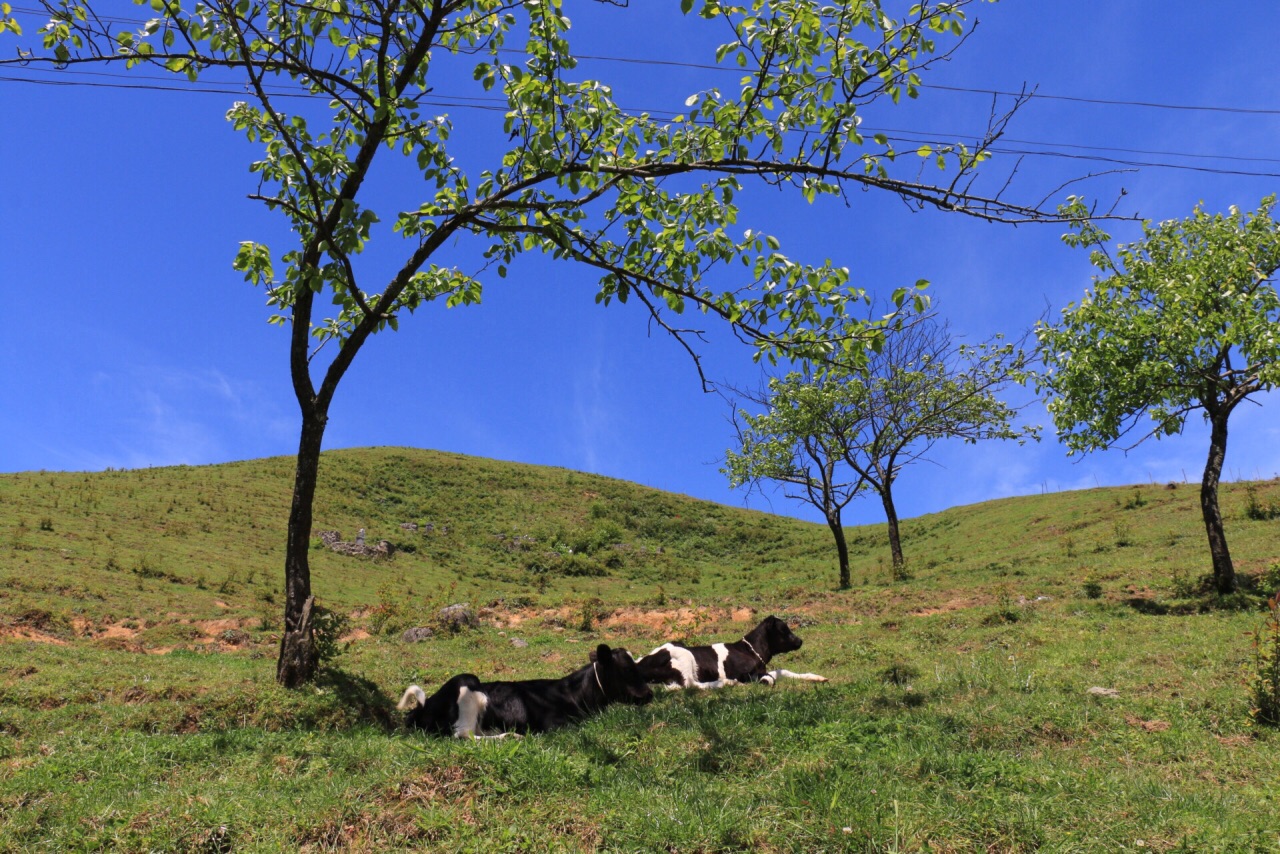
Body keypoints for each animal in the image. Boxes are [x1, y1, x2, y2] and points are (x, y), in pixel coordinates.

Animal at [394, 645, 655, 737]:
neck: (574, 696)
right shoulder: (554, 725)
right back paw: (510, 736)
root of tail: (422, 707)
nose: (649, 694)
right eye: (626, 670)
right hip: (466, 683)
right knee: (463, 735)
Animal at [632, 614, 829, 686]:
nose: (800, 641)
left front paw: (817, 677)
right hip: (684, 656)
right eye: (784, 630)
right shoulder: (744, 674)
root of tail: (638, 663)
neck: (752, 652)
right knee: (690, 685)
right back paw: (726, 683)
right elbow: (769, 678)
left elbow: (782, 672)